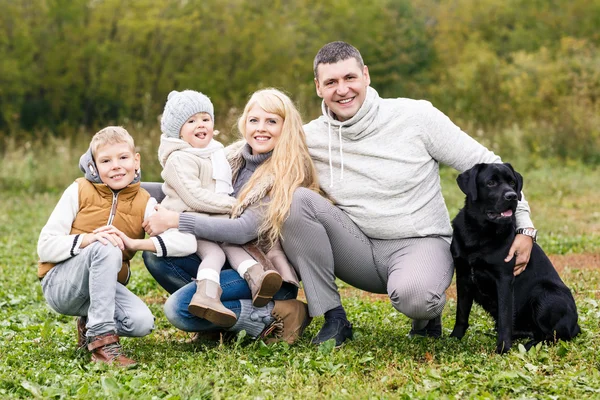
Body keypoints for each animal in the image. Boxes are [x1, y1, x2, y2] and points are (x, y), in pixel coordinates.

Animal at [448, 162, 580, 354]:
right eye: (491, 183)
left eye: (512, 182)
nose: (512, 196)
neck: (479, 232)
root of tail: (576, 325)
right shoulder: (463, 275)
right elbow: (461, 312)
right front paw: (454, 338)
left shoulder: (504, 279)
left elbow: (505, 317)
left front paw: (503, 348)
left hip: (544, 294)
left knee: (552, 336)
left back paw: (528, 345)